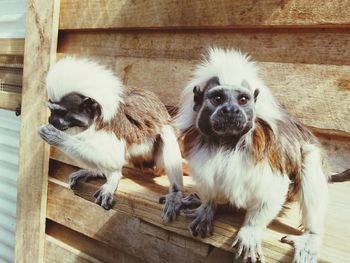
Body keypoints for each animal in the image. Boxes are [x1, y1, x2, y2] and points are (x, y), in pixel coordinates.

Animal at [38, 58, 185, 223]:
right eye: (52, 111)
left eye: (61, 112)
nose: (51, 120)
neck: (96, 116)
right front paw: (99, 172)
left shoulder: (113, 125)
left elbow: (114, 158)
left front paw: (56, 137)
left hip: (156, 162)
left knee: (166, 132)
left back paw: (175, 192)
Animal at [176, 48, 330, 262]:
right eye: (217, 99)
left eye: (242, 100)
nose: (230, 110)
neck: (227, 144)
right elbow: (209, 182)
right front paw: (207, 208)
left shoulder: (270, 159)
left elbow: (273, 191)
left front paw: (250, 229)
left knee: (309, 158)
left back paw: (311, 236)